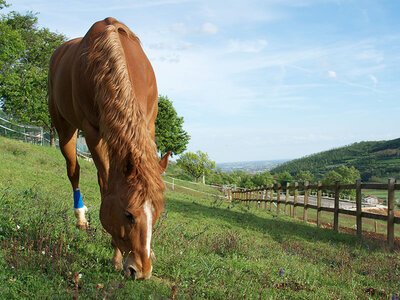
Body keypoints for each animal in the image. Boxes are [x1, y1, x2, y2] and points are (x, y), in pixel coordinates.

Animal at [48, 17, 170, 280]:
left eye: (156, 214)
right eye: (128, 214)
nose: (141, 271)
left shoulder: (148, 125)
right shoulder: (94, 133)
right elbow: (105, 184)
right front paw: (116, 255)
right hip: (64, 128)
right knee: (73, 170)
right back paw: (81, 218)